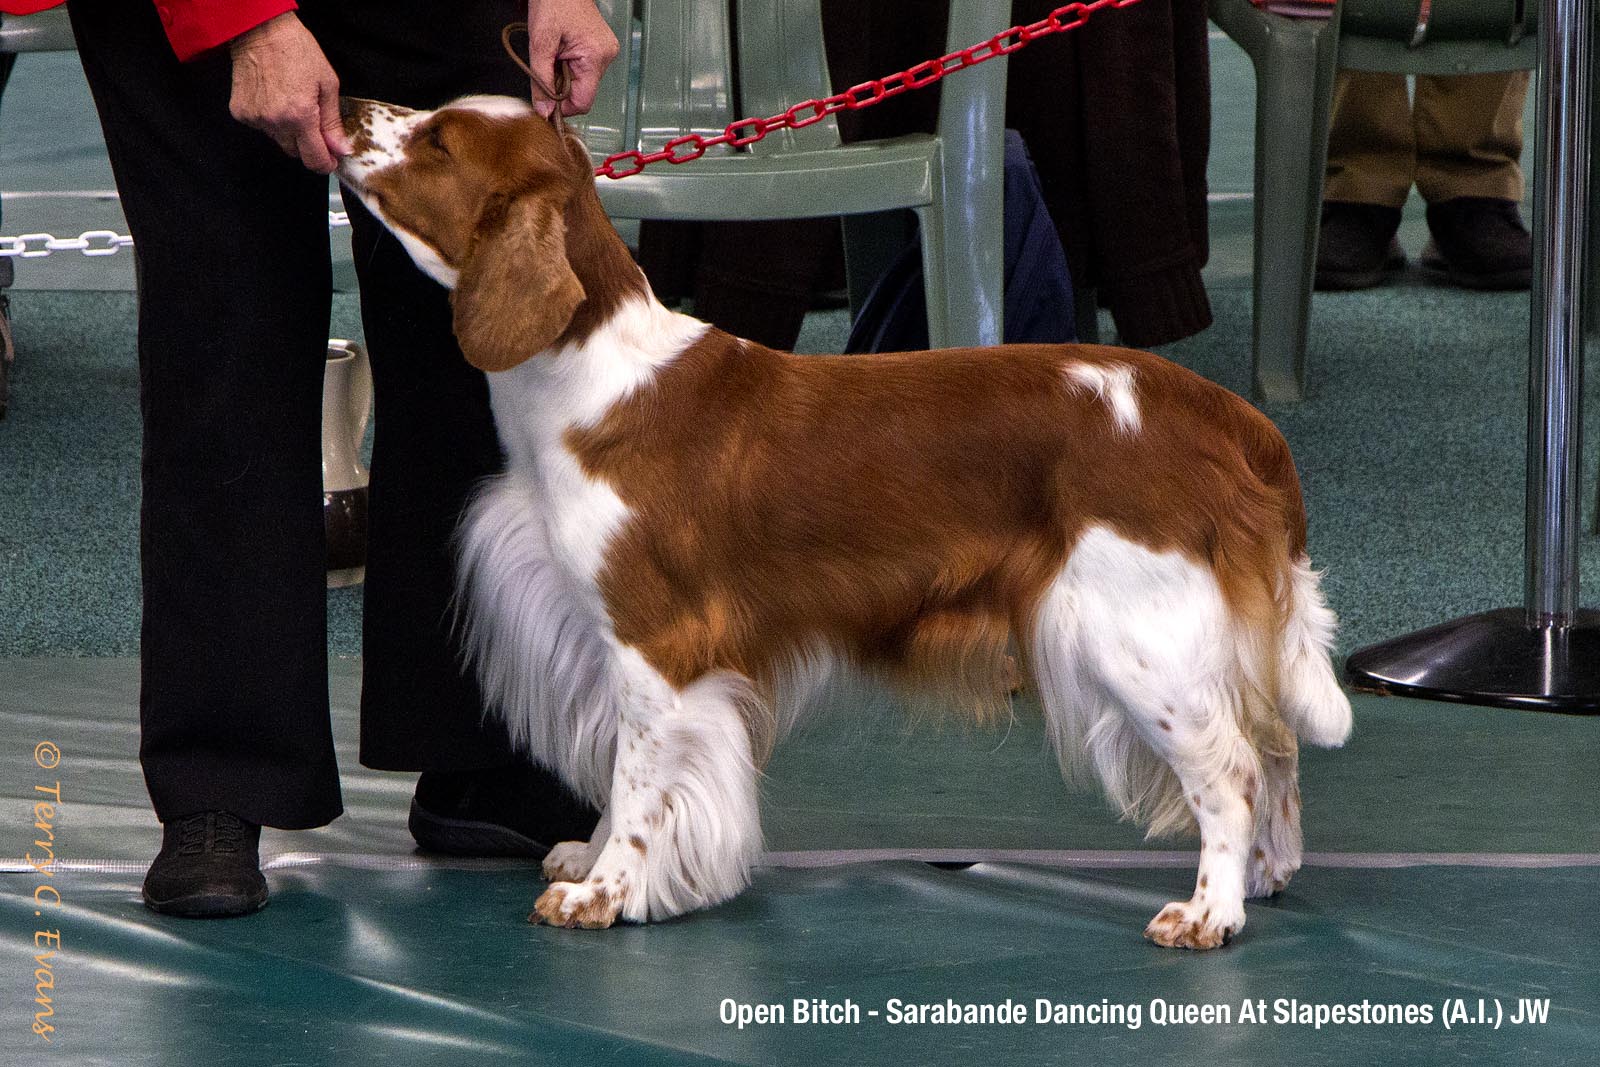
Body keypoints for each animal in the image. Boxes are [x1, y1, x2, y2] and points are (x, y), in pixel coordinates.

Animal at [335, 94, 1352, 949]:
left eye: (438, 140)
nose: (345, 103)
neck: (583, 378)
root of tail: (1223, 412)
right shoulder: (610, 638)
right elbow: (622, 777)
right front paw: (588, 857)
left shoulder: (659, 639)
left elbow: (638, 780)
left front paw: (604, 892)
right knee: (1277, 746)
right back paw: (1265, 875)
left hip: (1133, 632)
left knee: (1233, 767)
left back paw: (1210, 910)